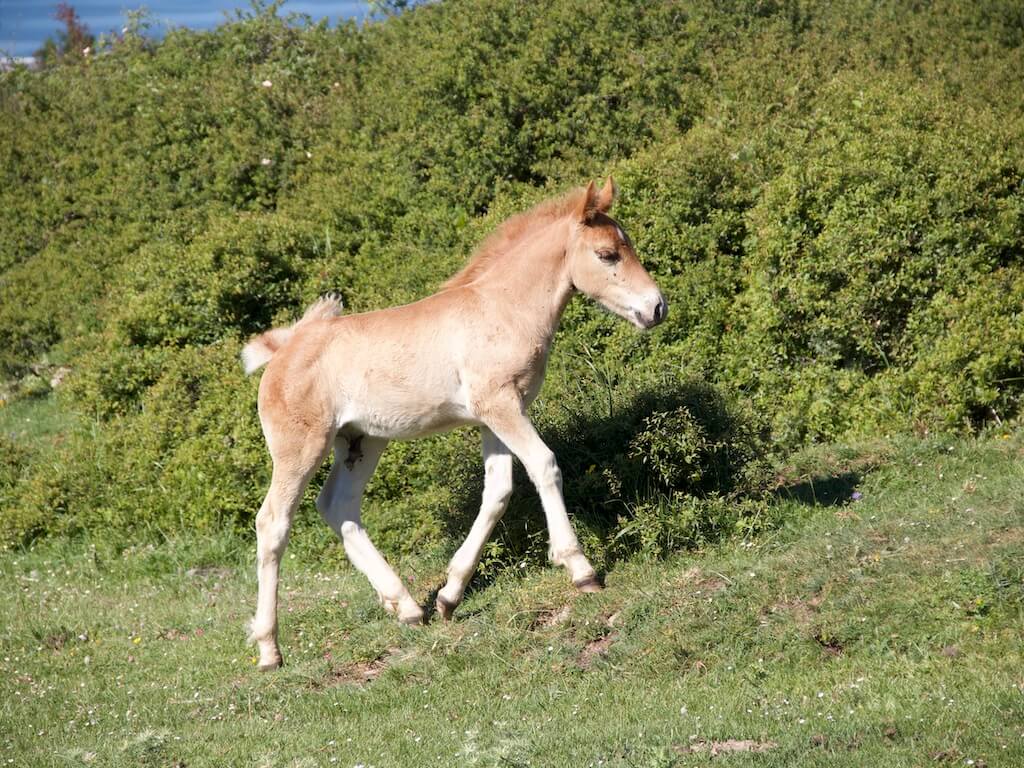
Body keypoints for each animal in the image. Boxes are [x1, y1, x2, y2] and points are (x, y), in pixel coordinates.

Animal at [241, 178, 667, 670]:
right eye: (607, 254)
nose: (657, 308)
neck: (503, 308)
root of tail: (282, 350)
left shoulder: (495, 416)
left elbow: (497, 491)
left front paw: (449, 596)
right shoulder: (501, 405)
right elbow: (544, 465)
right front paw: (581, 569)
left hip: (361, 442)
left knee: (338, 507)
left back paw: (408, 607)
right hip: (301, 446)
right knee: (273, 522)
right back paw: (269, 649)